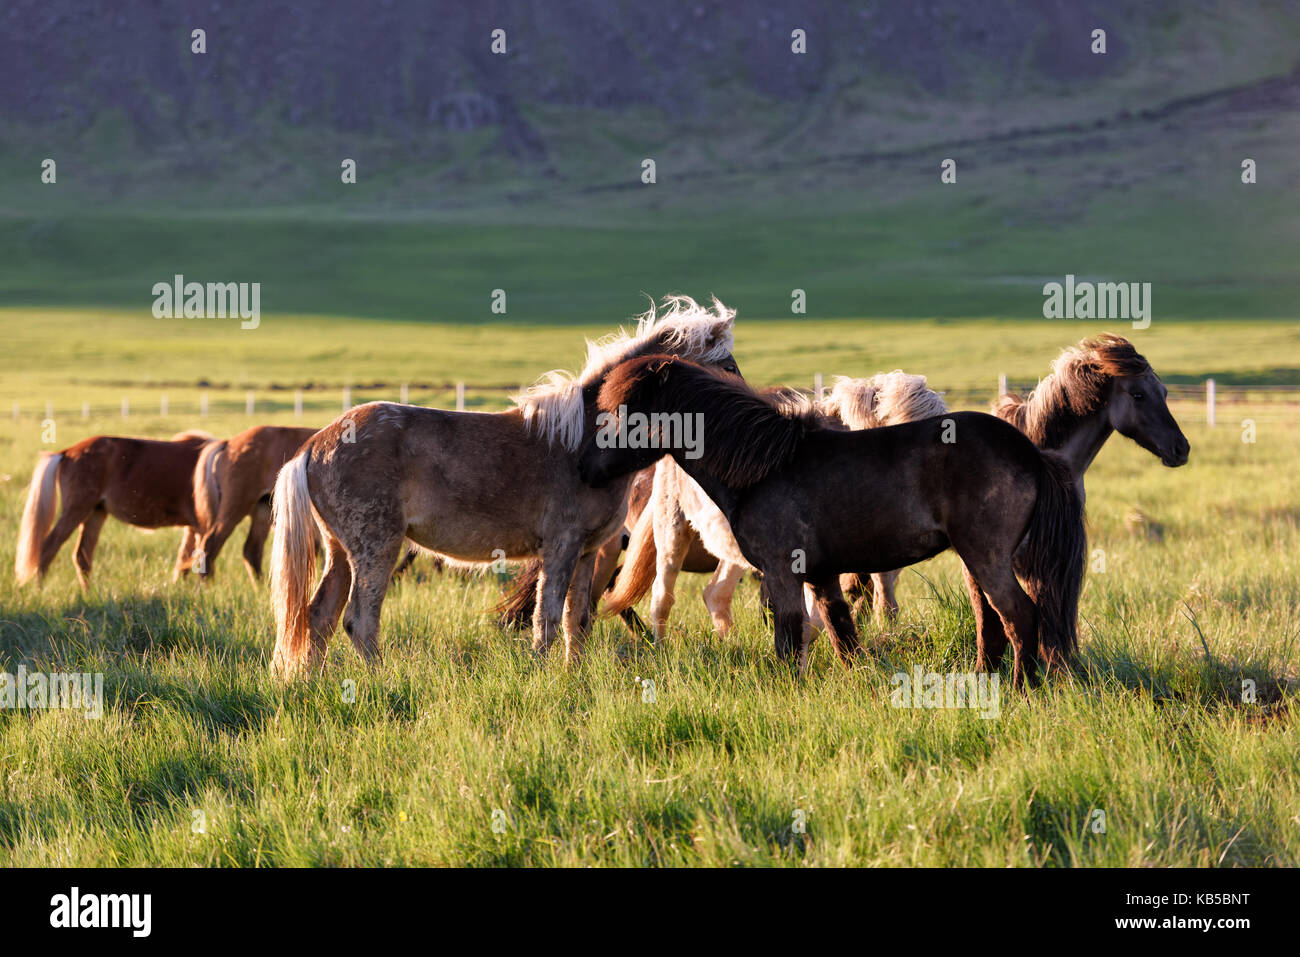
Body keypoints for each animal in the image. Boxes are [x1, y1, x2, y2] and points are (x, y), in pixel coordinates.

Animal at [14, 429, 213, 587]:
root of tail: (67, 452)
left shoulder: (192, 527)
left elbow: (185, 560)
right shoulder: (200, 526)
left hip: (96, 513)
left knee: (82, 557)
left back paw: (90, 595)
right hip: (77, 510)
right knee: (48, 549)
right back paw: (39, 591)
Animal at [182, 426, 318, 582]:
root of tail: (228, 443)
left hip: (263, 509)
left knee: (251, 550)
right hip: (236, 507)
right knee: (211, 542)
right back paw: (207, 583)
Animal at [270, 295, 743, 676]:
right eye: (726, 366)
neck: (585, 444)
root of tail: (316, 443)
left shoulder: (587, 552)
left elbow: (577, 620)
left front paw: (574, 676)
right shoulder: (561, 547)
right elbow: (546, 617)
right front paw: (542, 674)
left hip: (339, 553)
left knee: (318, 618)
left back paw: (313, 682)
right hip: (376, 549)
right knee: (359, 620)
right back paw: (379, 680)